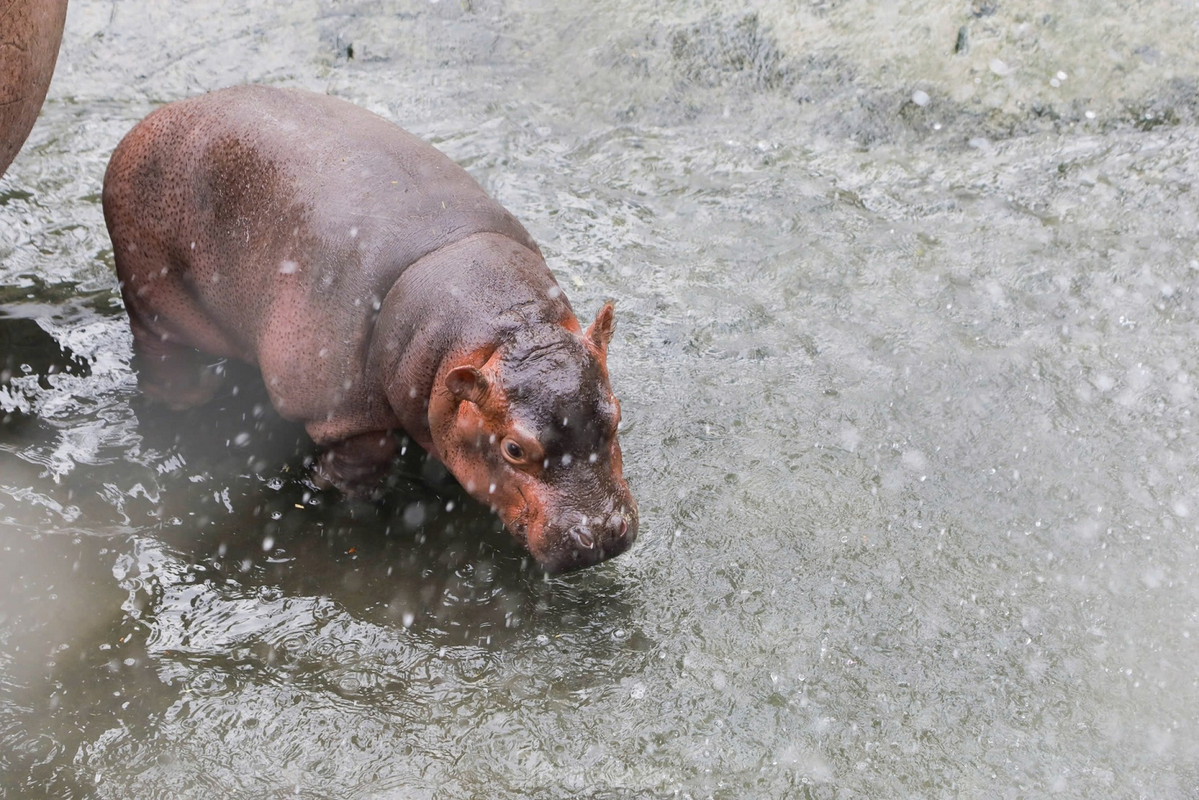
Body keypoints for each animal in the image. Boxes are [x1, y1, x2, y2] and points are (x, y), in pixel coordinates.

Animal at [103, 86, 637, 575]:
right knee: (162, 359)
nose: (601, 534)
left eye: (616, 415)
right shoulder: (341, 407)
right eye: (514, 448)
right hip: (153, 301)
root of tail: (145, 124)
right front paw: (325, 486)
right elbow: (367, 453)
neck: (503, 330)